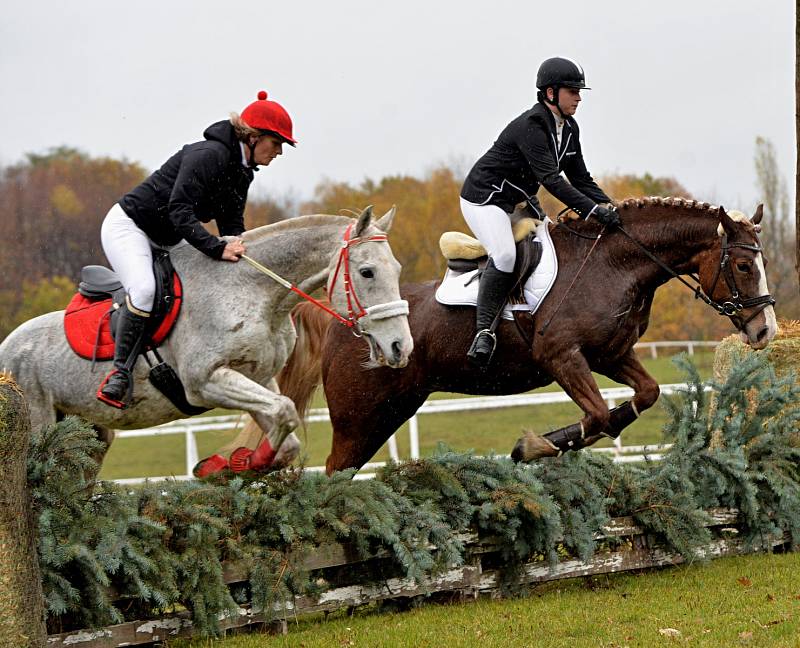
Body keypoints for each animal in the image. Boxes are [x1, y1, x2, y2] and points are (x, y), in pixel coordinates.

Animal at [0, 205, 412, 468]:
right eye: (367, 272)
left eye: (397, 268)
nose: (401, 346)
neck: (255, 291)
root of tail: (5, 348)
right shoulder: (204, 382)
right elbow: (283, 411)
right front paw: (234, 465)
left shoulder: (254, 378)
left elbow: (285, 430)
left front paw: (234, 465)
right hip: (37, 424)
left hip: (92, 434)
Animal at [276, 195, 776, 474]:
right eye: (743, 265)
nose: (764, 330)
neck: (613, 264)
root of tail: (343, 320)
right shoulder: (562, 356)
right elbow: (597, 415)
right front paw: (533, 447)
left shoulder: (610, 355)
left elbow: (643, 396)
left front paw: (543, 445)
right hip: (360, 416)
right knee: (335, 470)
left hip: (391, 410)